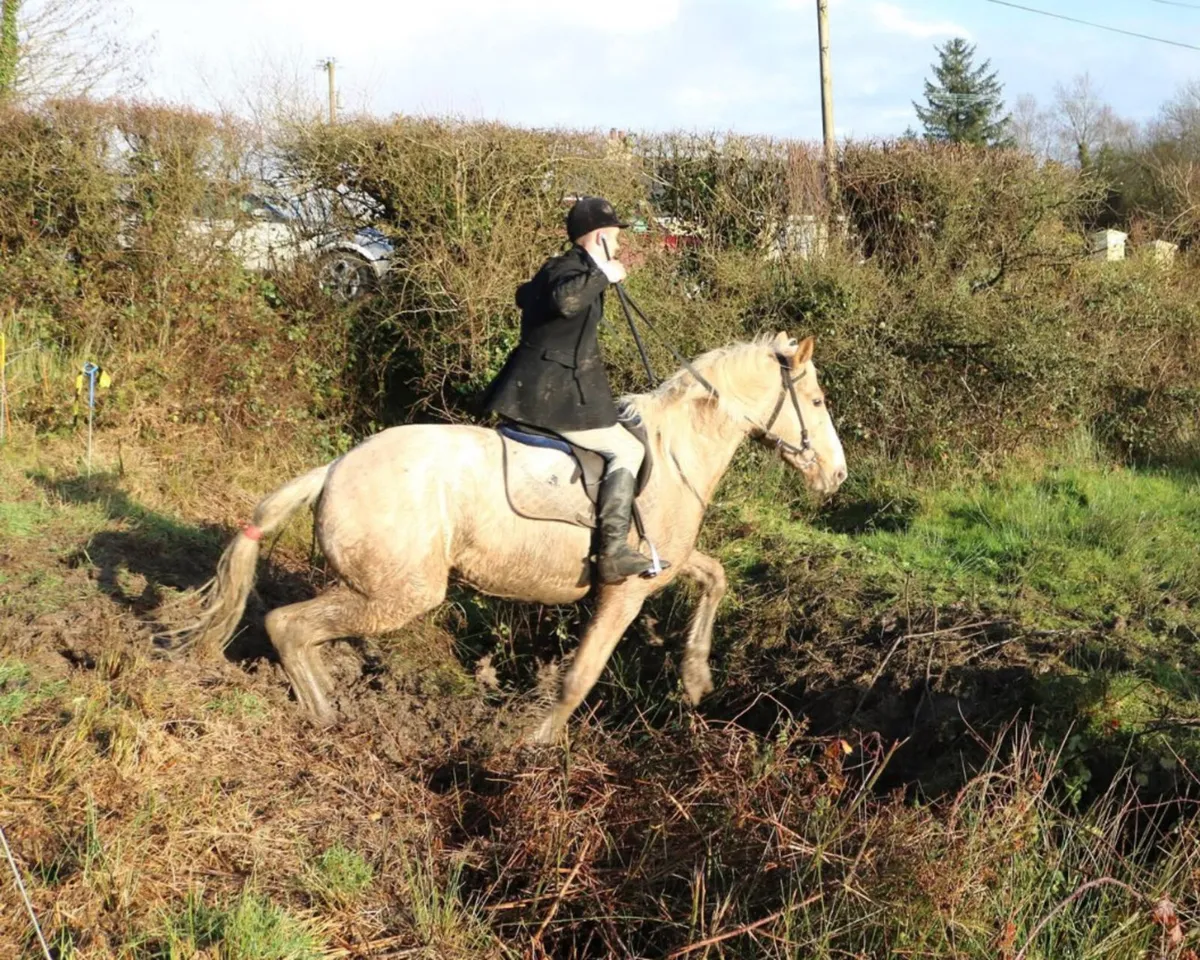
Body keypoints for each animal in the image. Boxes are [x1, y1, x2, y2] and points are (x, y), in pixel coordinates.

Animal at [176, 332, 847, 743]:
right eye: (815, 401)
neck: (678, 450)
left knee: (296, 628)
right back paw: (328, 718)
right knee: (287, 625)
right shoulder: (624, 591)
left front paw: (697, 678)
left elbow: (717, 577)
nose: (837, 476)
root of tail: (335, 468)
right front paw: (534, 748)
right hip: (399, 594)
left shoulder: (668, 563)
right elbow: (580, 677)